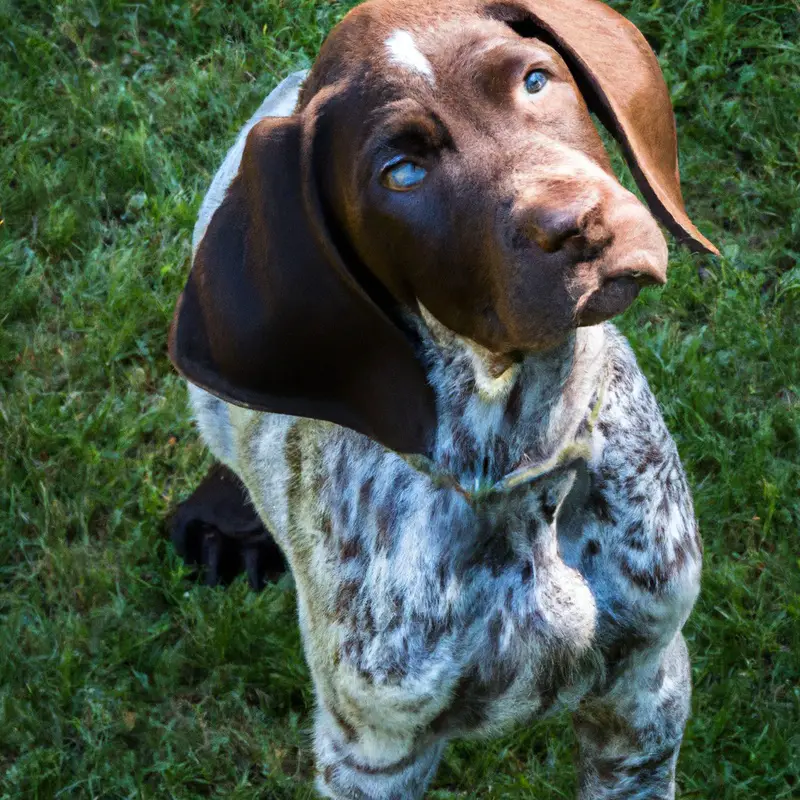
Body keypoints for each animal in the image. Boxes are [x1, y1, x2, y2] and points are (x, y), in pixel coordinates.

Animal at [166, 0, 716, 796]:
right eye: (402, 173)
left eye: (535, 80)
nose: (578, 224)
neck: (522, 465)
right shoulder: (373, 750)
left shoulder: (646, 694)